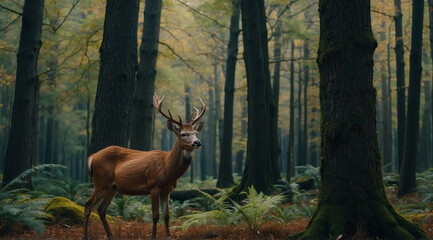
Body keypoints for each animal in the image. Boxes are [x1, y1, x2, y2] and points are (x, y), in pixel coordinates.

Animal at [83, 93, 206, 239]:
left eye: (196, 133)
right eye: (183, 134)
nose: (197, 142)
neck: (167, 168)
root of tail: (92, 156)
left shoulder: (167, 190)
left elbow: (167, 216)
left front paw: (168, 236)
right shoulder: (153, 186)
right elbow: (155, 215)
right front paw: (153, 236)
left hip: (112, 187)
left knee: (101, 209)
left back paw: (111, 236)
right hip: (101, 182)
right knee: (88, 205)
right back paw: (85, 236)